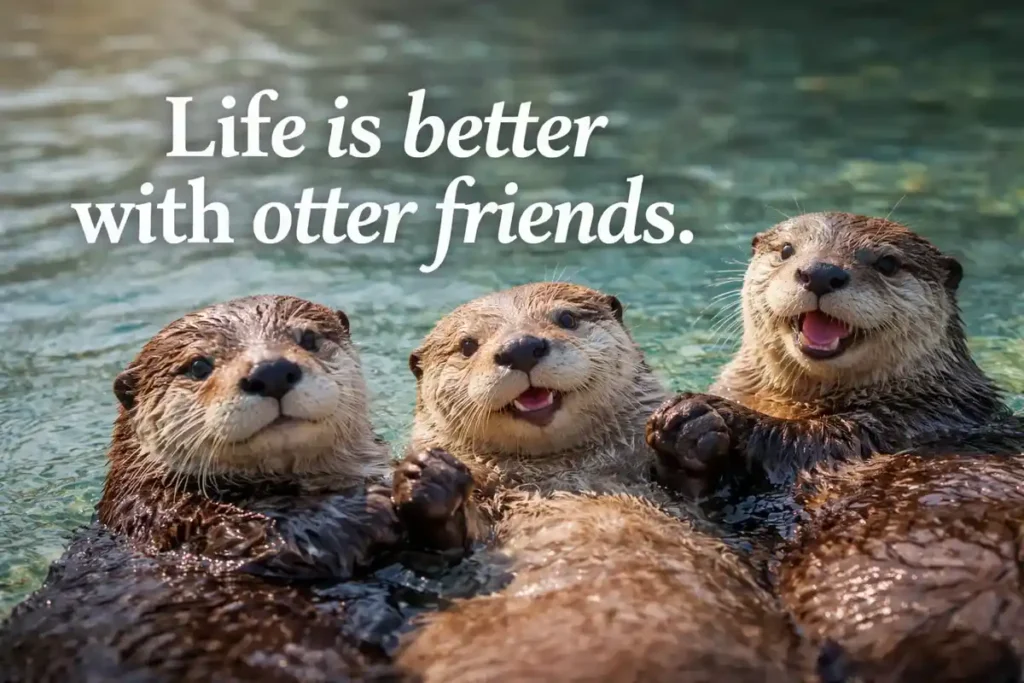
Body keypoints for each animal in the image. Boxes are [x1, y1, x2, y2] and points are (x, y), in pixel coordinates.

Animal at [0, 295, 470, 683]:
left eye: (308, 338)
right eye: (197, 366)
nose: (271, 370)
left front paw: (430, 477)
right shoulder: (160, 516)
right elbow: (250, 533)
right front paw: (360, 510)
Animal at [394, 282, 813, 683]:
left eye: (565, 318)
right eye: (467, 345)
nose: (521, 347)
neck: (566, 480)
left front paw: (686, 429)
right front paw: (429, 479)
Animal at [646, 212, 1024, 681]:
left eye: (887, 263)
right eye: (787, 250)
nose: (822, 272)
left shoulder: (896, 424)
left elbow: (798, 442)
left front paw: (711, 415)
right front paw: (685, 427)